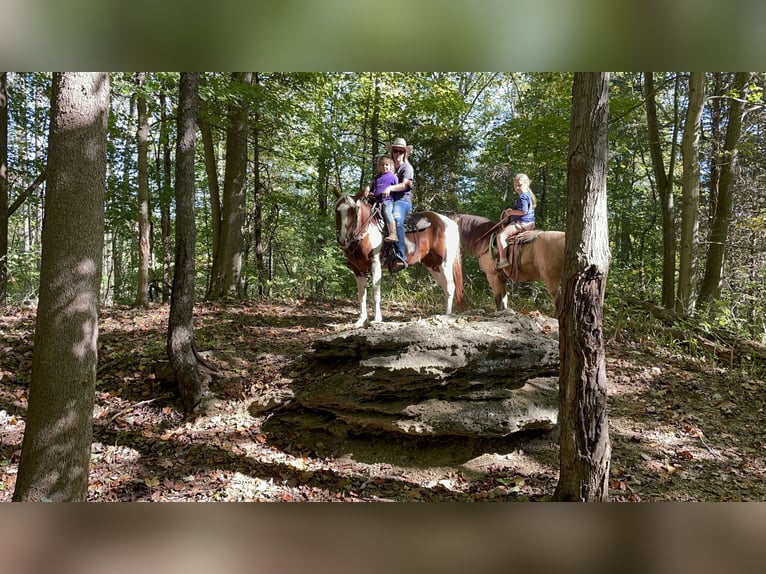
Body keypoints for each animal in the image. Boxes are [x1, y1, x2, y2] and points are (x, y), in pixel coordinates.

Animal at [334, 191, 464, 328]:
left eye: (354, 211)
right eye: (337, 210)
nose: (343, 240)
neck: (367, 231)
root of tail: (449, 222)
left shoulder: (375, 265)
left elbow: (376, 292)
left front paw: (377, 319)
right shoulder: (358, 269)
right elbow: (361, 295)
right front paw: (361, 320)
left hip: (445, 263)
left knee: (450, 287)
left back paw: (448, 315)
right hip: (433, 265)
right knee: (445, 286)